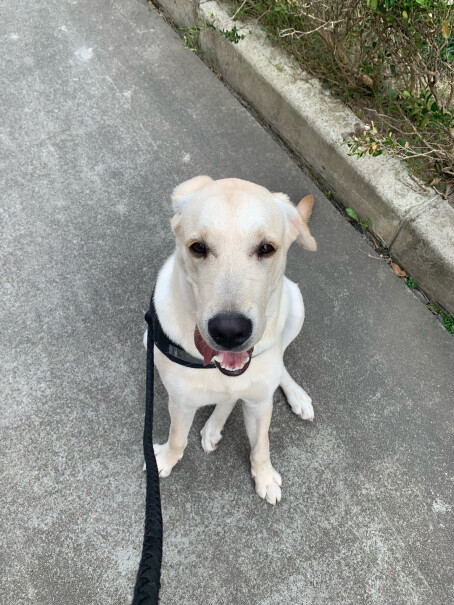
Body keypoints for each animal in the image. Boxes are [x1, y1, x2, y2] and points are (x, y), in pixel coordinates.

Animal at [145, 176, 316, 504]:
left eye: (266, 248)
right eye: (198, 247)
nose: (229, 331)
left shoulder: (260, 404)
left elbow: (261, 445)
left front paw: (264, 476)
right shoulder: (181, 403)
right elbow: (177, 437)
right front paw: (166, 459)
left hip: (298, 305)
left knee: (278, 365)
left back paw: (296, 396)